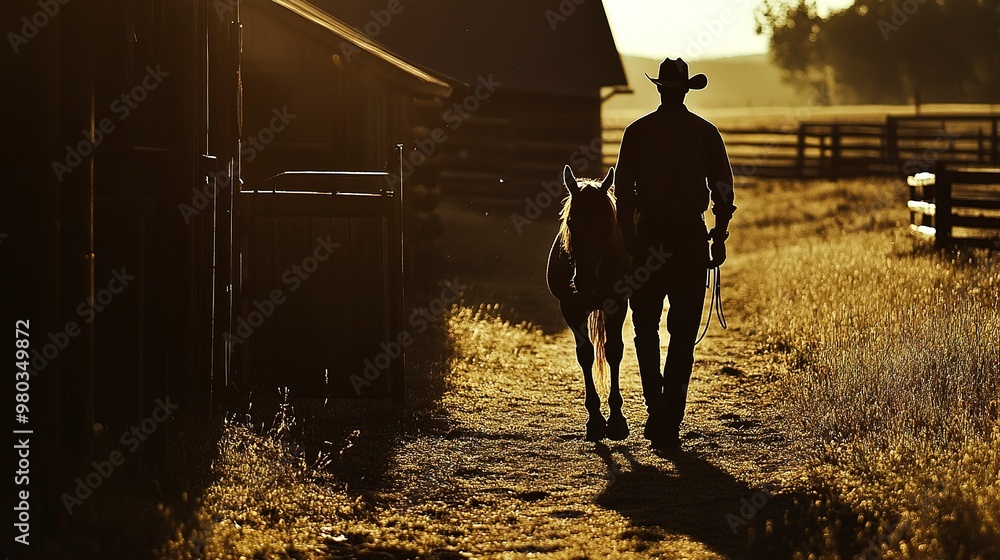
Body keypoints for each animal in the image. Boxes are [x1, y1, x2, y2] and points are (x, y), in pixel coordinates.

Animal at [552, 164, 628, 440]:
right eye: (571, 222)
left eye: (605, 223)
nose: (584, 281)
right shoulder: (571, 309)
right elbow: (585, 354)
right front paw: (595, 420)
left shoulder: (617, 304)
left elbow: (613, 351)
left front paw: (616, 420)